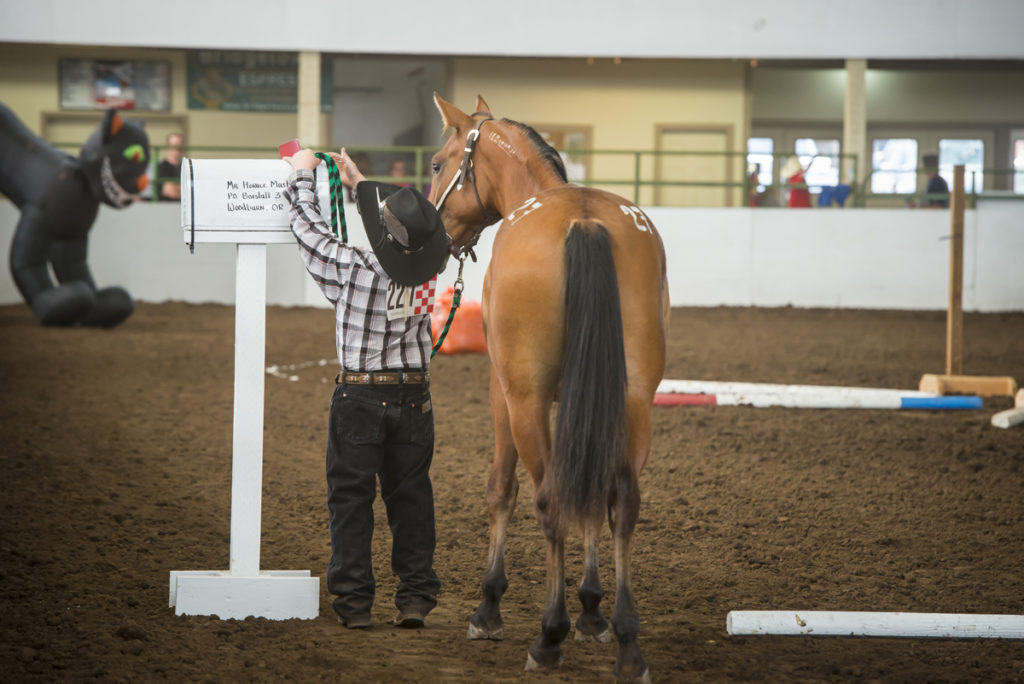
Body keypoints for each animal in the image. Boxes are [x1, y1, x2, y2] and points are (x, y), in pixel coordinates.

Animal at [428, 92, 667, 684]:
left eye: (439, 164)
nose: (432, 235)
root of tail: (583, 220)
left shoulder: (503, 391)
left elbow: (502, 490)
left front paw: (490, 606)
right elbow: (592, 495)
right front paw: (592, 610)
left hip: (527, 400)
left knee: (549, 499)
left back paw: (548, 635)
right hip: (634, 400)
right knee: (620, 498)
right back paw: (627, 642)